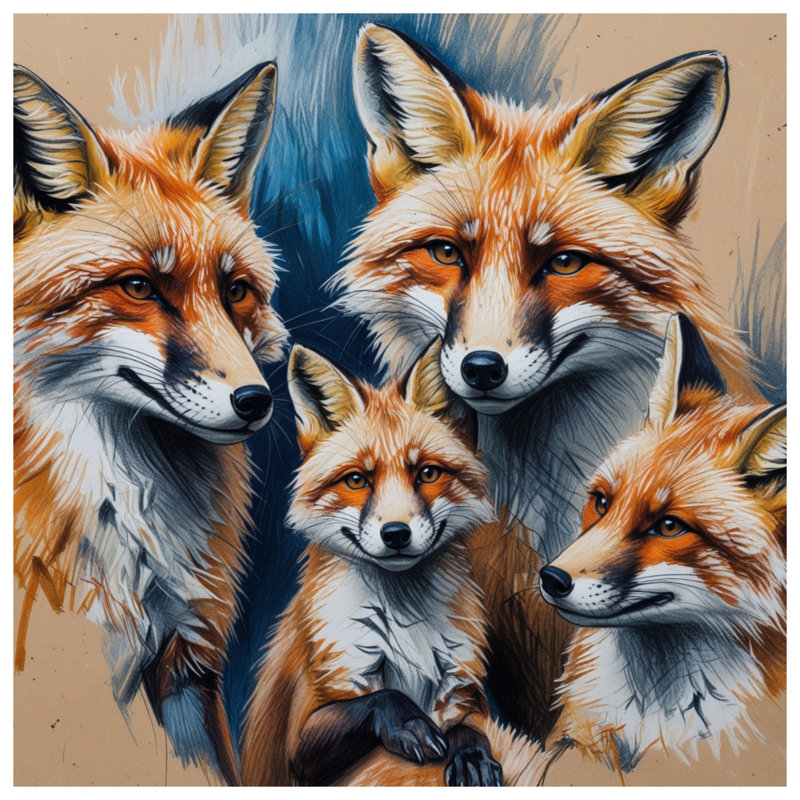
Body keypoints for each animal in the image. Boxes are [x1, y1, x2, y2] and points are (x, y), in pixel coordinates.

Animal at [239, 340, 506, 786]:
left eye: (427, 473)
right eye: (357, 480)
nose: (396, 534)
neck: (407, 626)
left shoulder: (464, 692)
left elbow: (469, 729)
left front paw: (471, 757)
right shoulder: (301, 744)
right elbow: (384, 697)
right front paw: (411, 725)